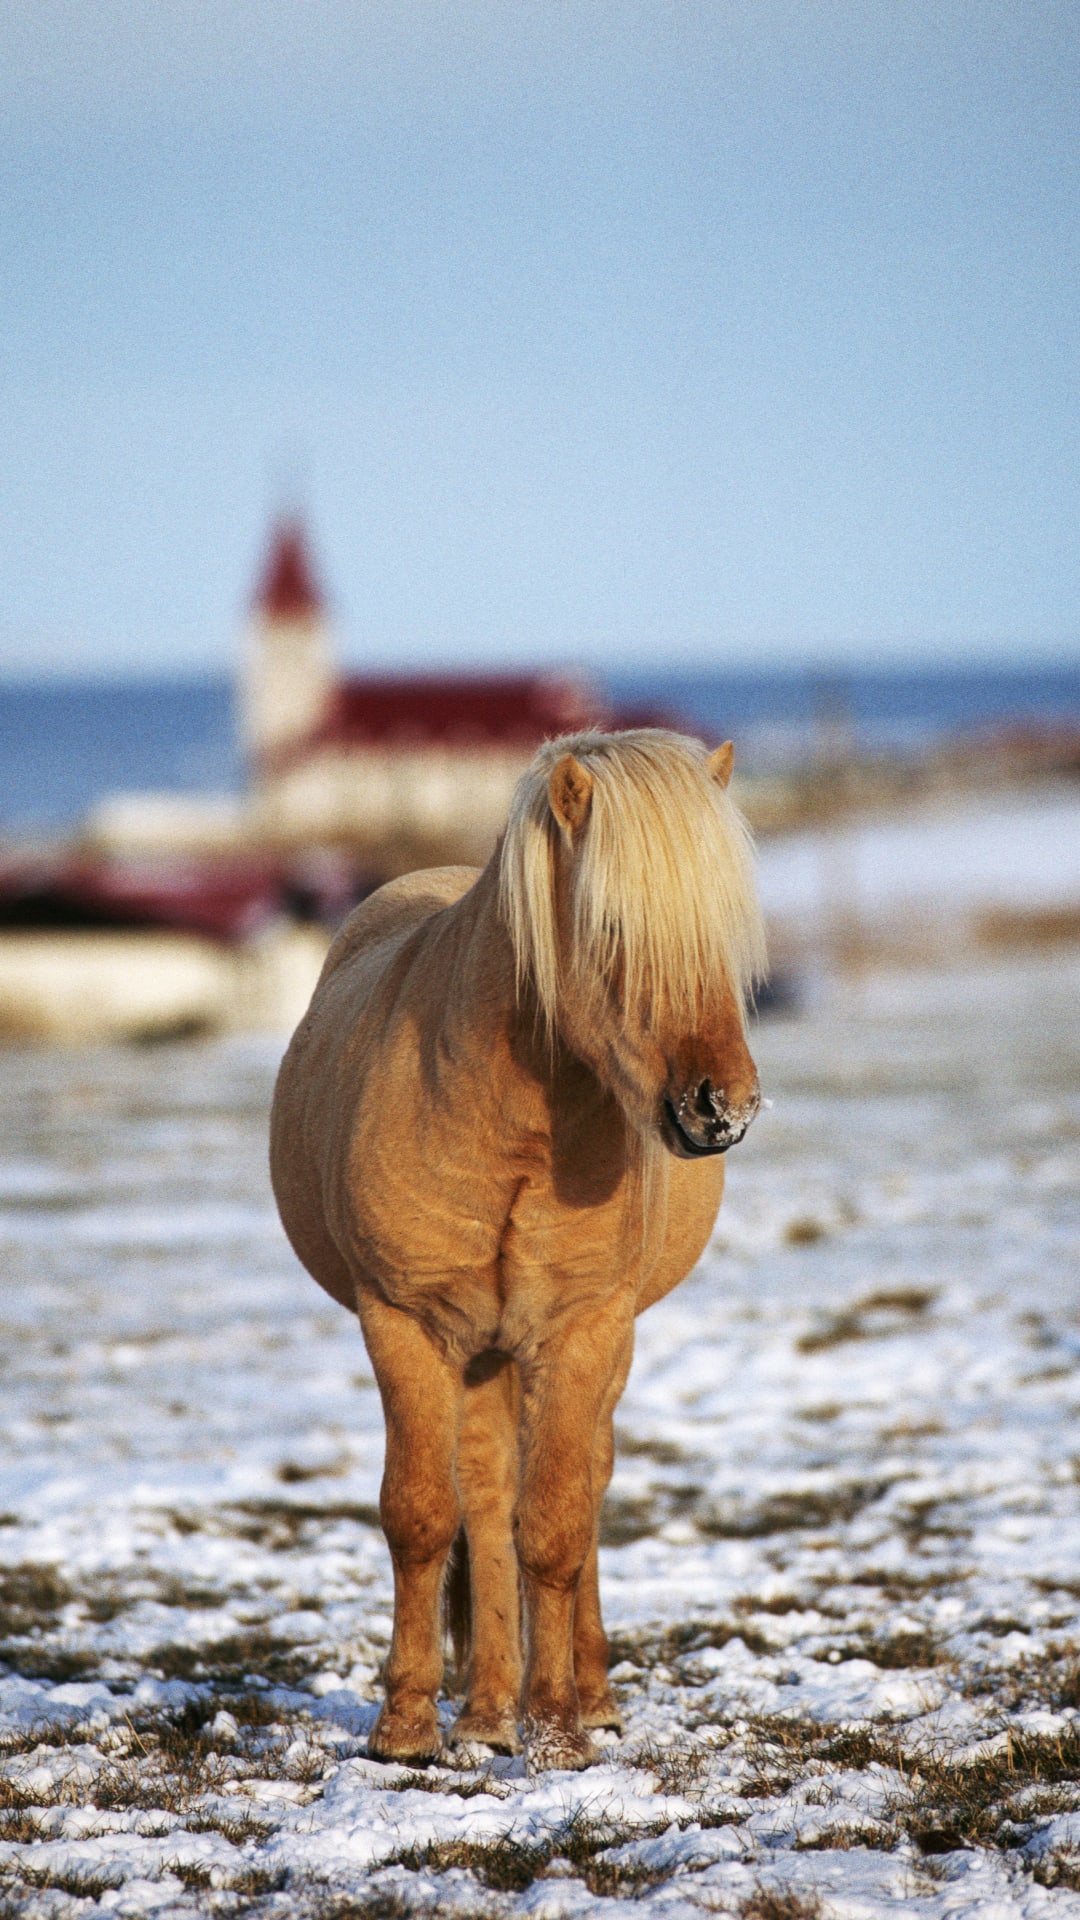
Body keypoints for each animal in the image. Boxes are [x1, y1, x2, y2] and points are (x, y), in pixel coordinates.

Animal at [272, 729, 760, 1766]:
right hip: (486, 1354)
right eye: (612, 926)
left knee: (579, 1492)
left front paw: (561, 1734)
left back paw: (582, 1695)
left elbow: (559, 1523)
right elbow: (426, 1514)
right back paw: (488, 1712)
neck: (513, 1128)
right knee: (488, 1502)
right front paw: (409, 1727)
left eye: (728, 931)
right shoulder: (405, 1325)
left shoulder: (582, 1332)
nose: (721, 1110)